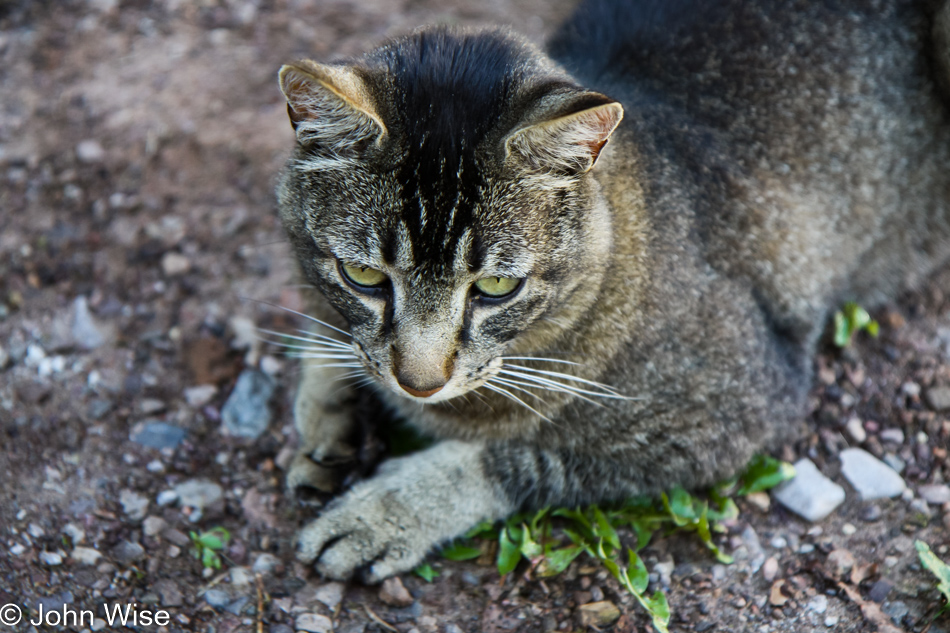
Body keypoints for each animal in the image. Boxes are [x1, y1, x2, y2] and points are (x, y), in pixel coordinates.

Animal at [274, 0, 950, 584]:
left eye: (496, 286)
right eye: (363, 276)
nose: (418, 382)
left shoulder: (733, 410)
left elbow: (518, 453)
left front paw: (387, 509)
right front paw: (330, 410)